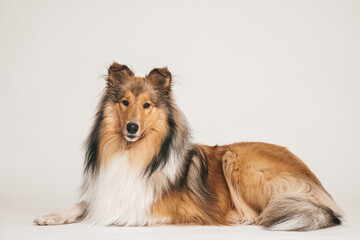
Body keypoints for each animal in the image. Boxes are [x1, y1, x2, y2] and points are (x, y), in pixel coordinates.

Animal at [33, 63, 344, 231]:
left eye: (147, 105)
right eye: (125, 102)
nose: (131, 128)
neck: (133, 153)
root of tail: (314, 178)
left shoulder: (182, 209)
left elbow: (133, 212)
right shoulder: (106, 191)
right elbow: (82, 205)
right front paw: (50, 216)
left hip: (236, 160)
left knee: (259, 213)